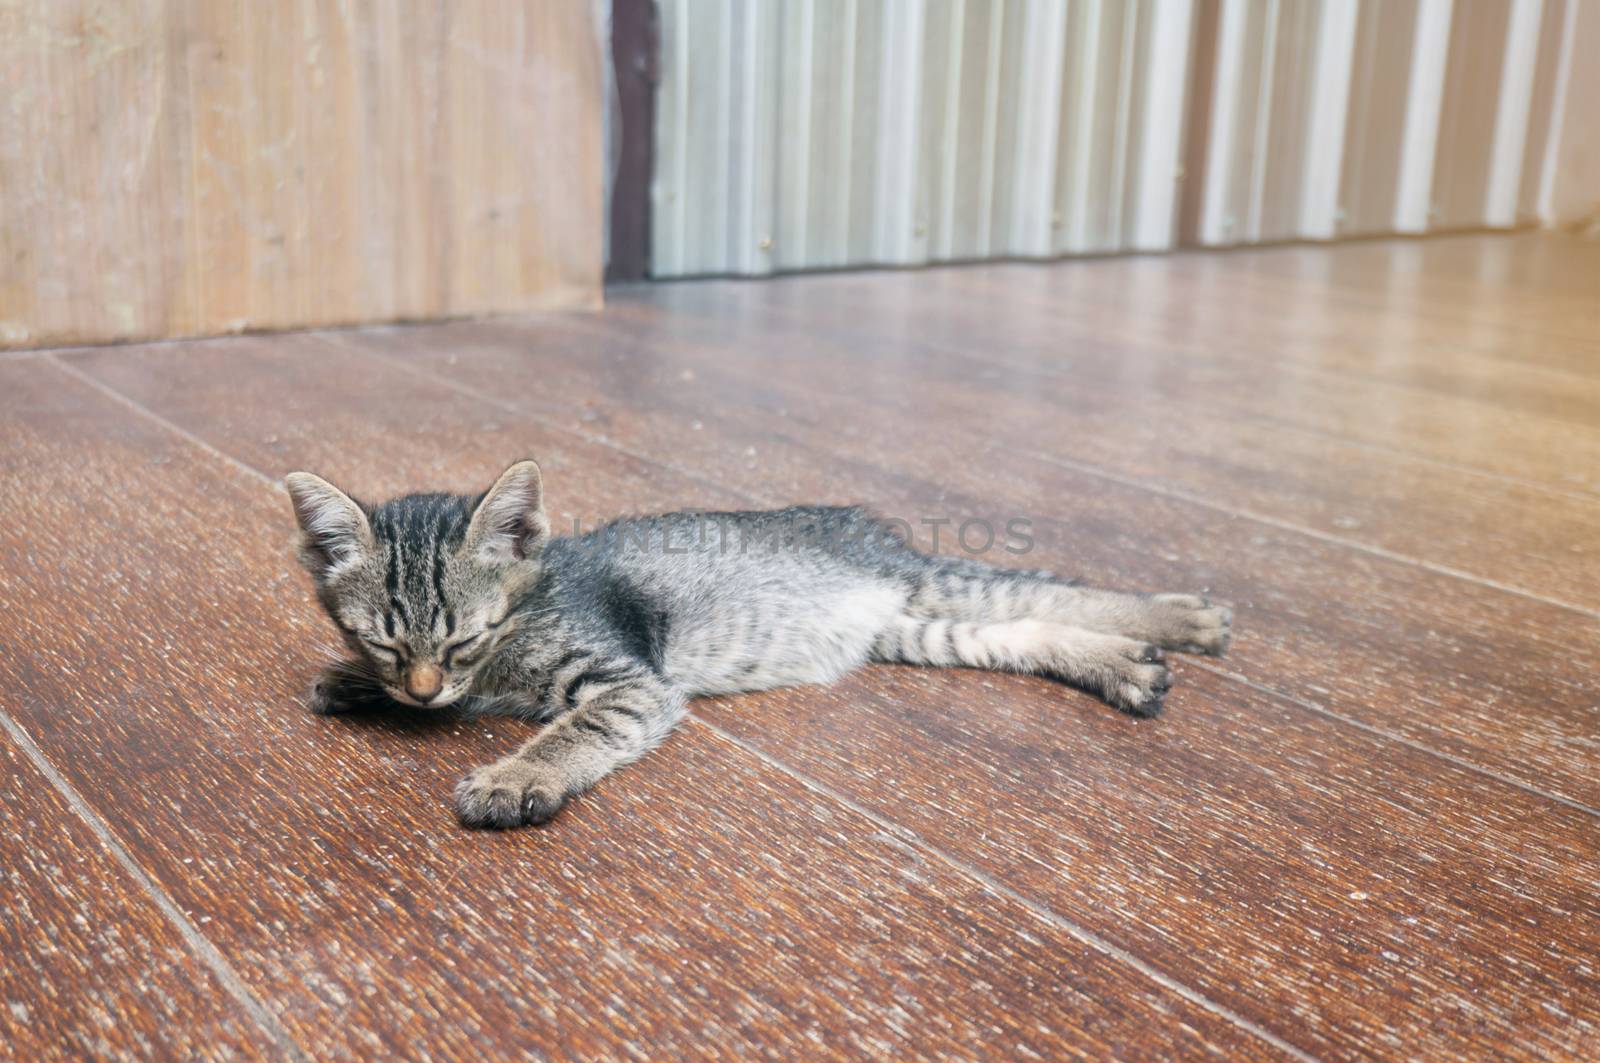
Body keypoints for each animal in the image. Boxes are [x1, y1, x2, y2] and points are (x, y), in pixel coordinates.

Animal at [288, 461, 1228, 826]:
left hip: (933, 584)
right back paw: (1129, 668)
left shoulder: (630, 682)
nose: (419, 687)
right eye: (382, 642)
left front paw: (516, 776)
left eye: (466, 638)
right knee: (1028, 627)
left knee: (1052, 591)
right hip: (913, 627)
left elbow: (571, 729)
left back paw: (1187, 619)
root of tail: (869, 530)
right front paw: (355, 683)